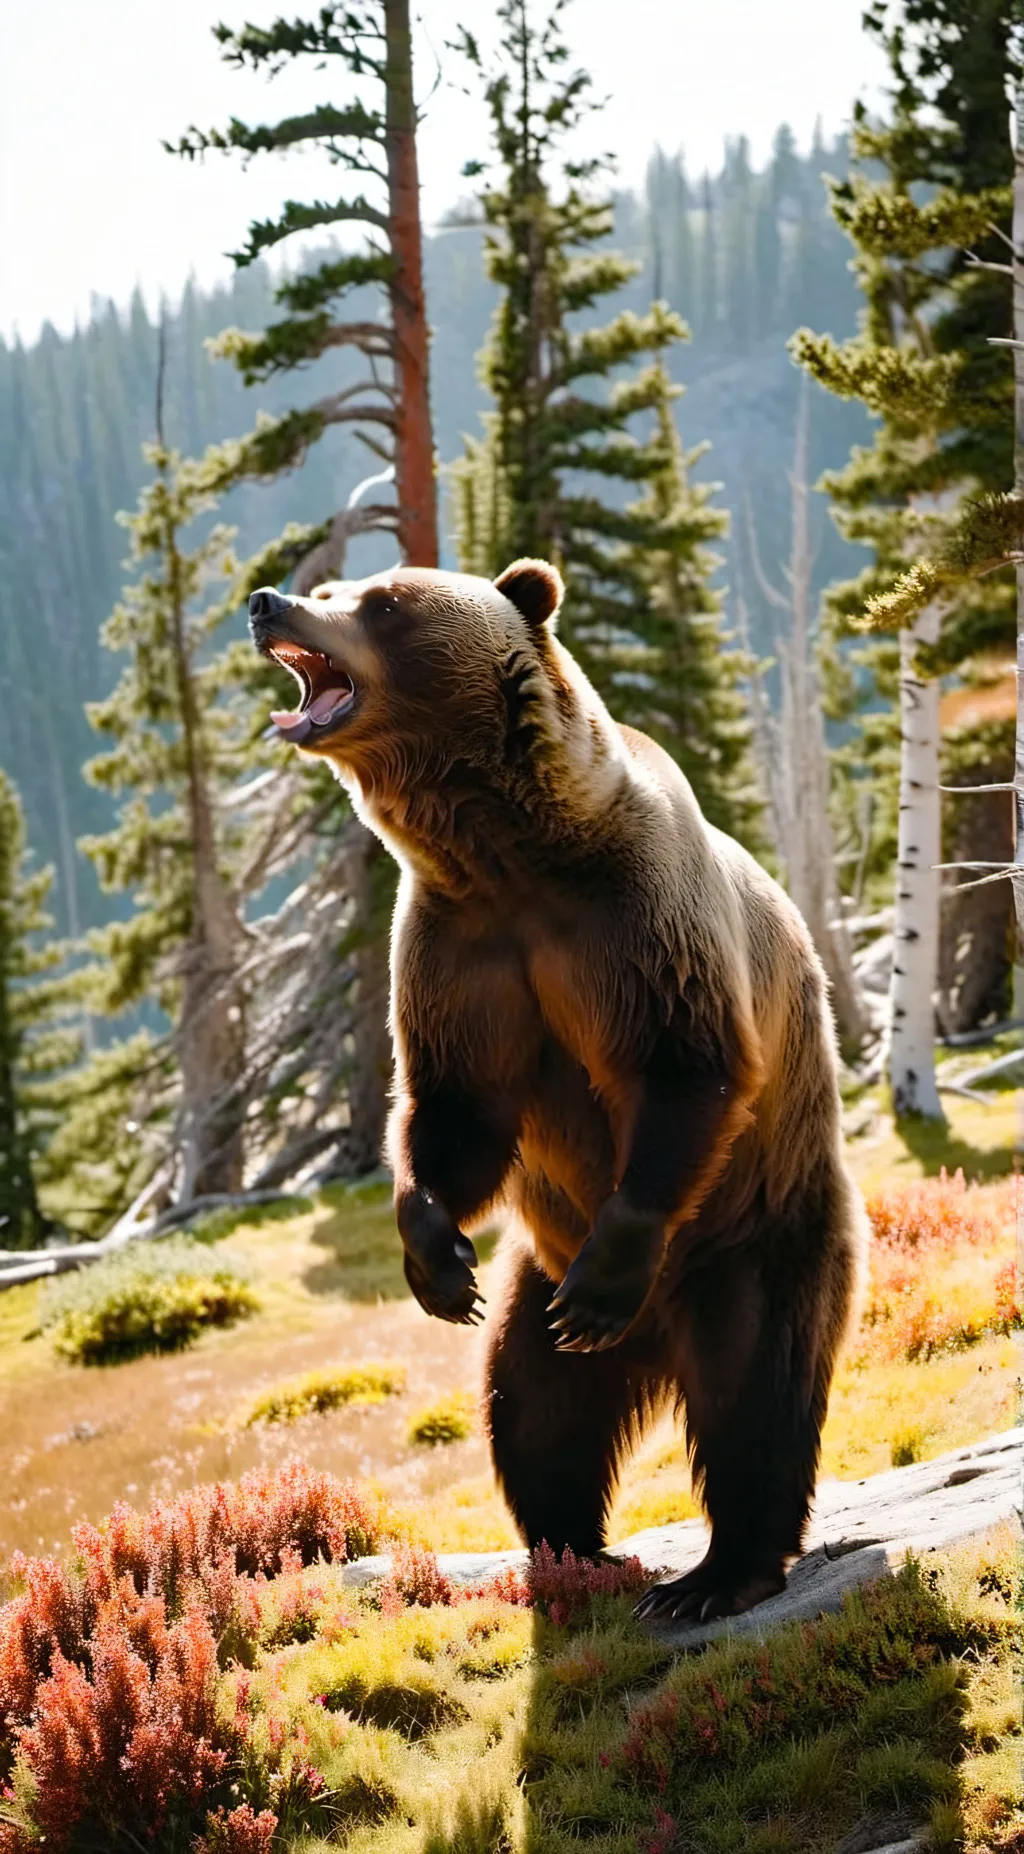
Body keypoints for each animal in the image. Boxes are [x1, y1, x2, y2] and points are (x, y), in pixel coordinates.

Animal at [248, 559, 867, 1623]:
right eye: (330, 585)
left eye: (382, 600)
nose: (267, 601)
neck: (507, 852)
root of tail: (654, 1344)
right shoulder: (459, 951)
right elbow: (457, 1110)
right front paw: (434, 1257)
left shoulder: (634, 921)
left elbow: (685, 1065)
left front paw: (609, 1265)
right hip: (535, 1280)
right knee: (534, 1413)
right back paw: (571, 1550)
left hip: (755, 1230)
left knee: (753, 1393)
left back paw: (716, 1572)